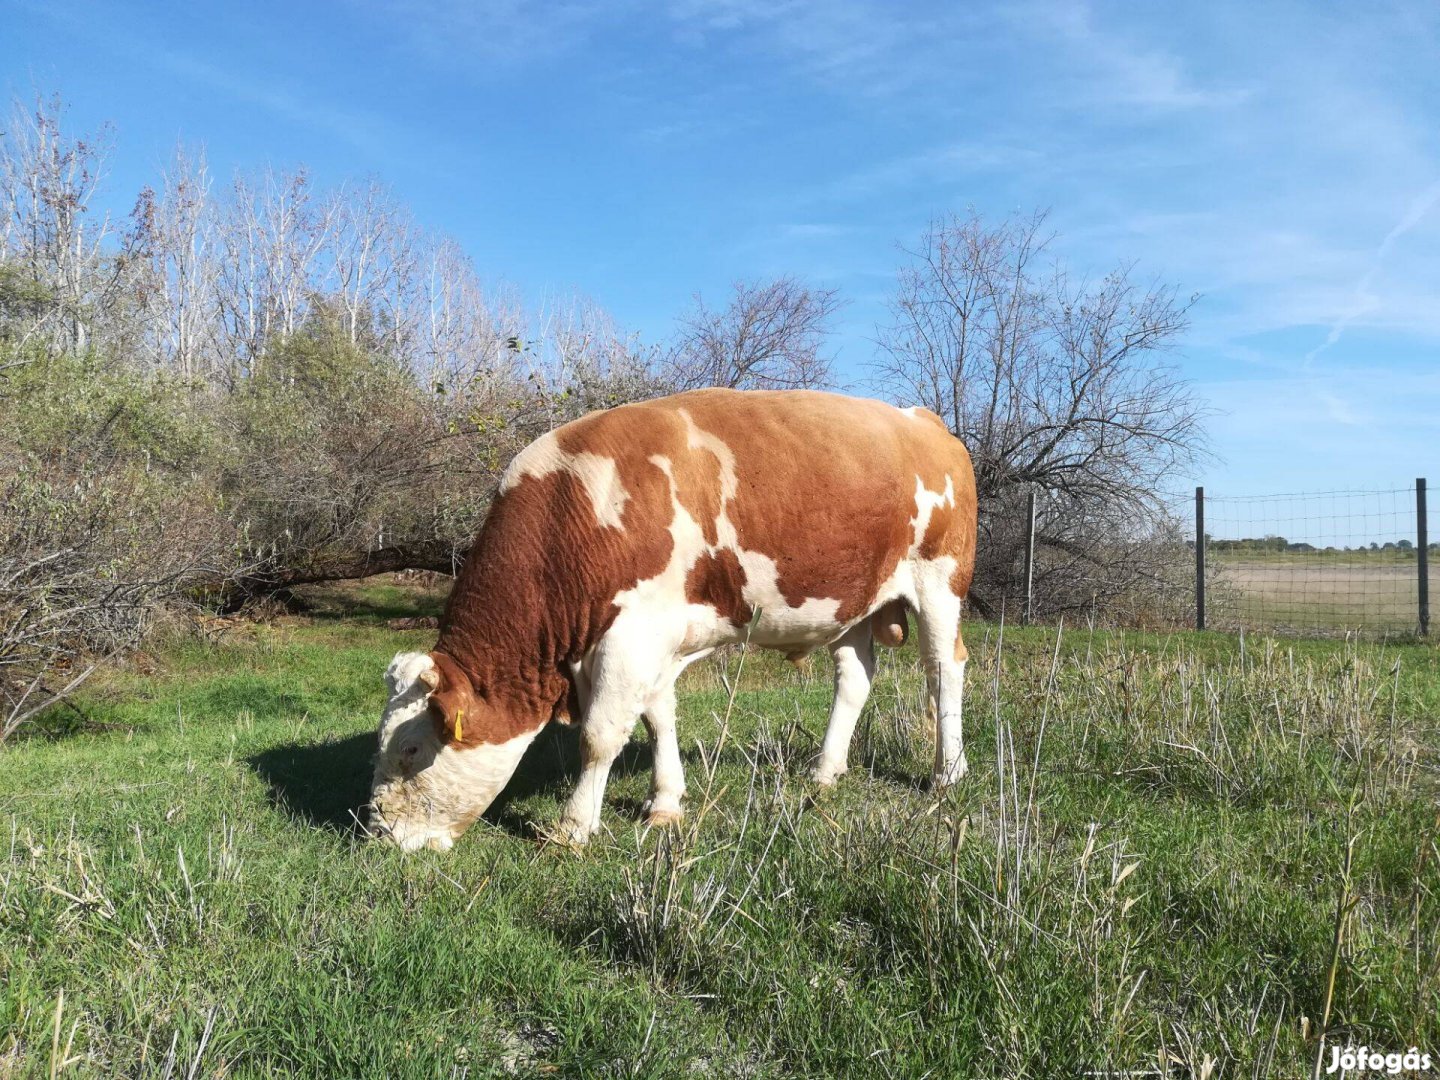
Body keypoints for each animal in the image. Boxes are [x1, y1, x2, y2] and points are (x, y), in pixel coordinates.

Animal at [368, 388, 979, 852]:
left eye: (410, 750)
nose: (378, 834)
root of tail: (924, 420)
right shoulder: (655, 640)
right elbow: (657, 717)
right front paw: (664, 804)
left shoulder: (632, 635)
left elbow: (600, 736)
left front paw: (572, 829)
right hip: (851, 603)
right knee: (854, 679)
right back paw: (825, 772)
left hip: (940, 582)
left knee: (943, 669)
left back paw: (947, 774)